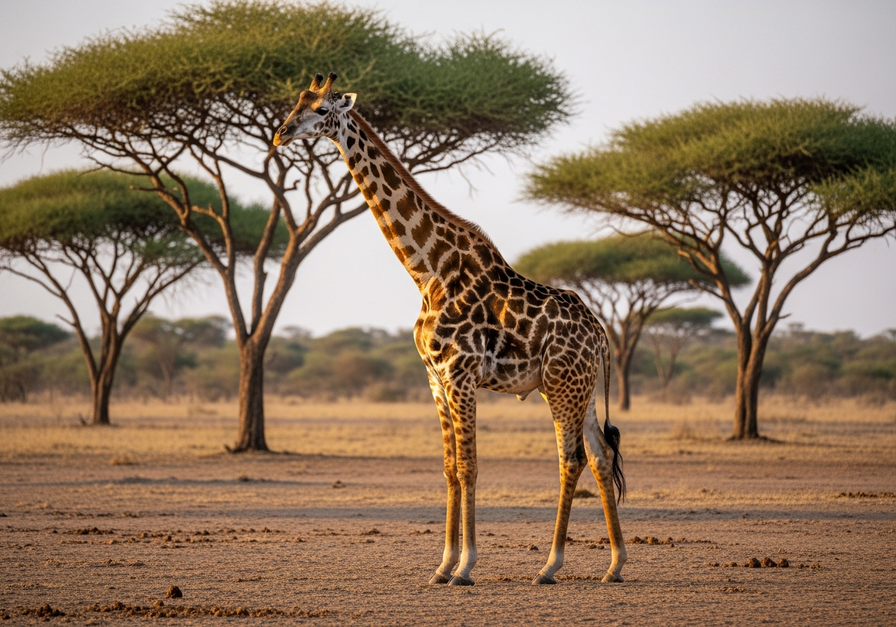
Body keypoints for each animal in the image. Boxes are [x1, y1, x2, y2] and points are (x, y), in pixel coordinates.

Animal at [274, 73, 626, 585]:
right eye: (296, 102)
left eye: (322, 110)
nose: (280, 134)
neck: (428, 271)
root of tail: (599, 335)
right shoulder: (434, 377)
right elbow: (448, 469)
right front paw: (442, 566)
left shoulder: (460, 375)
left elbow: (470, 467)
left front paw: (466, 566)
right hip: (578, 388)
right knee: (601, 457)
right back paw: (616, 564)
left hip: (563, 385)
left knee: (573, 459)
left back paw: (550, 565)